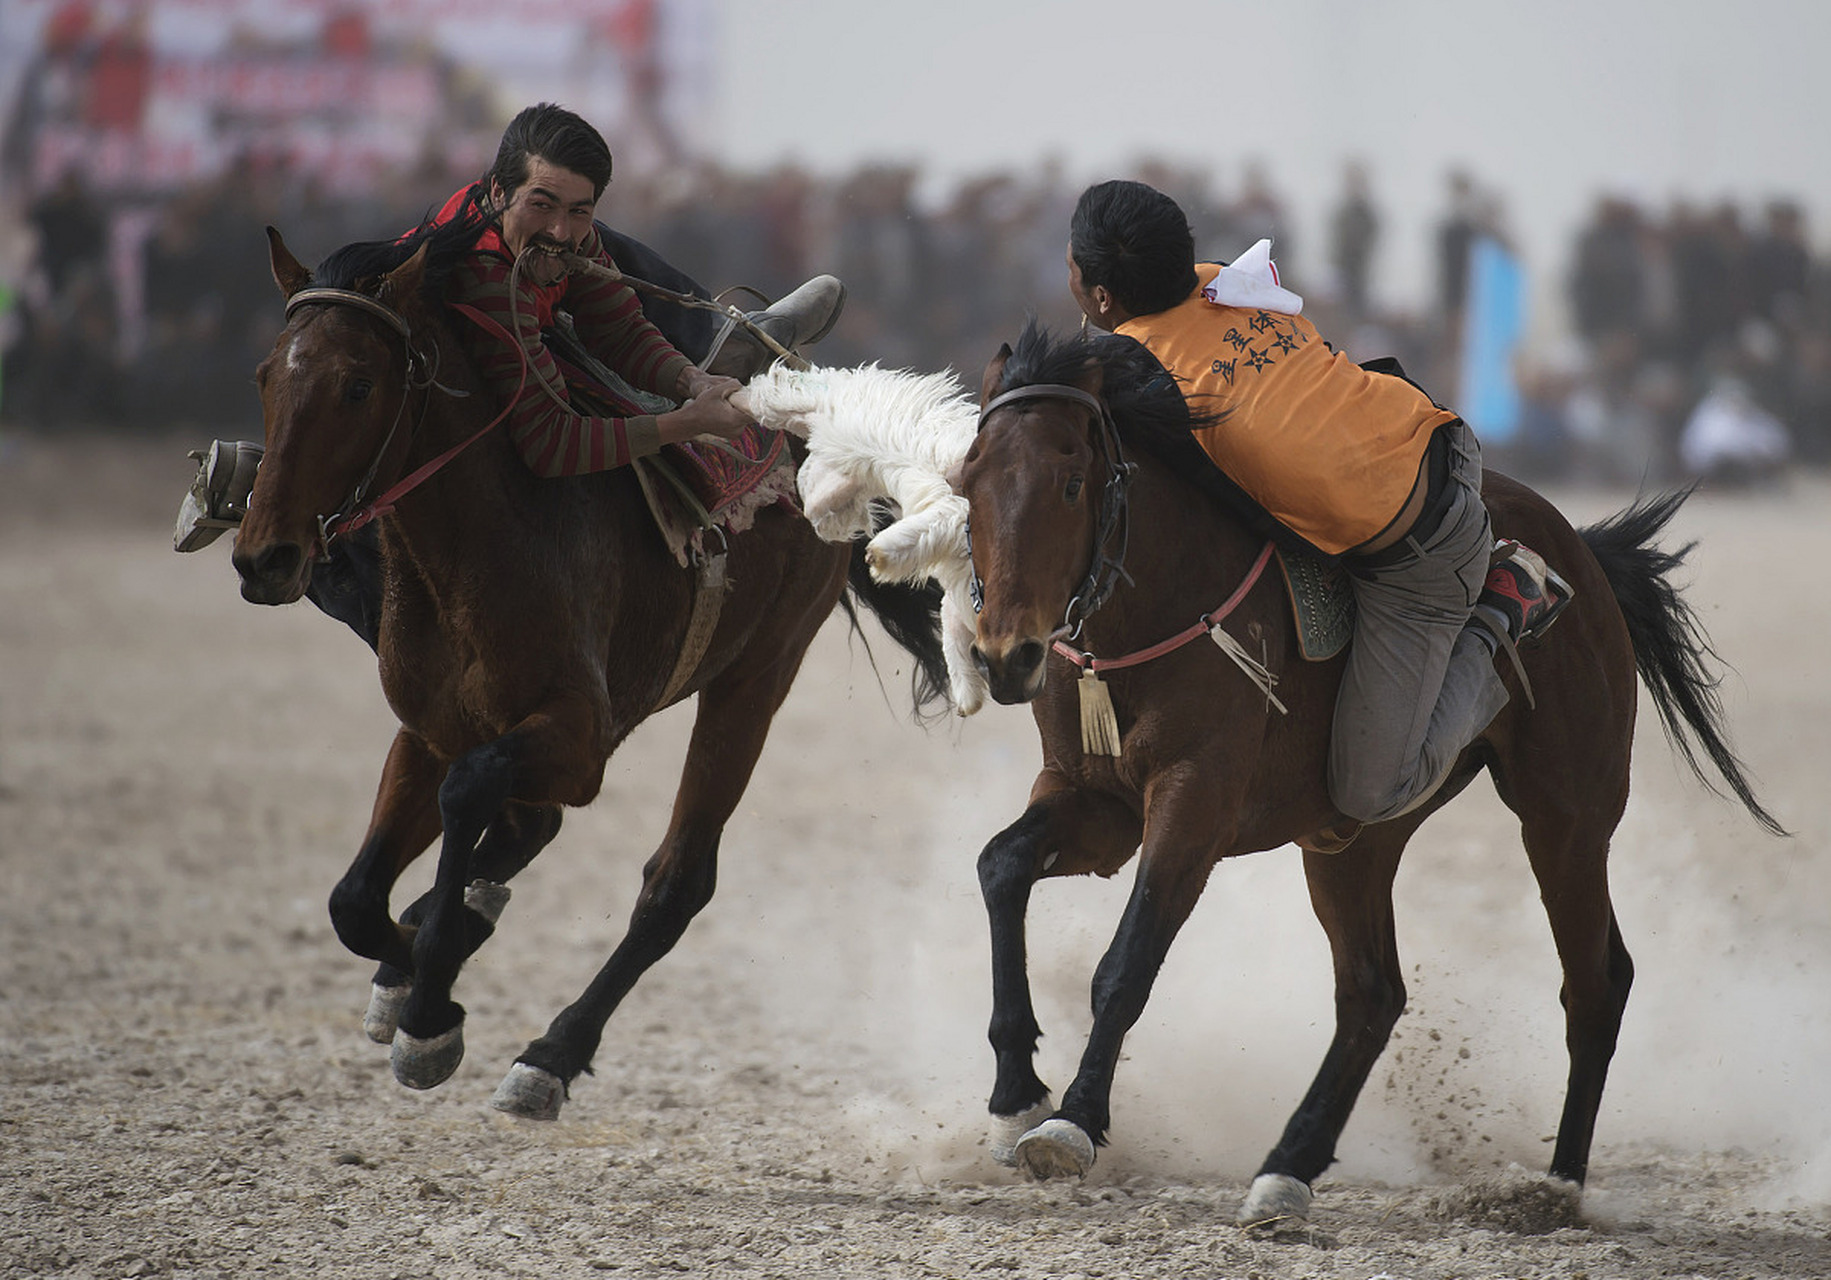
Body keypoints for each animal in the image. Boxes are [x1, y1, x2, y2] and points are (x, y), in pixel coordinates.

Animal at [232, 220, 944, 1120]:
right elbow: (355, 898)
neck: (483, 545)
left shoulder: (580, 743)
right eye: (265, 376)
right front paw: (423, 964)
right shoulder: (427, 729)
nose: (264, 557)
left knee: (675, 881)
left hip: (756, 675)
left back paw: (549, 1053)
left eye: (358, 386)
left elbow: (471, 795)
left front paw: (432, 1007)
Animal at [959, 325, 1772, 1223]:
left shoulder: (1193, 802)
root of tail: (1582, 557)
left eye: (1071, 483)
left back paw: (1555, 1185)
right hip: (1354, 834)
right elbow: (1000, 865)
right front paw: (1013, 1097)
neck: (1164, 603)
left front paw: (1071, 1120)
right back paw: (1288, 1164)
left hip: (1564, 816)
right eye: (966, 483)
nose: (1004, 654)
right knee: (1372, 994)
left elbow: (1127, 960)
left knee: (1593, 983)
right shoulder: (1091, 801)